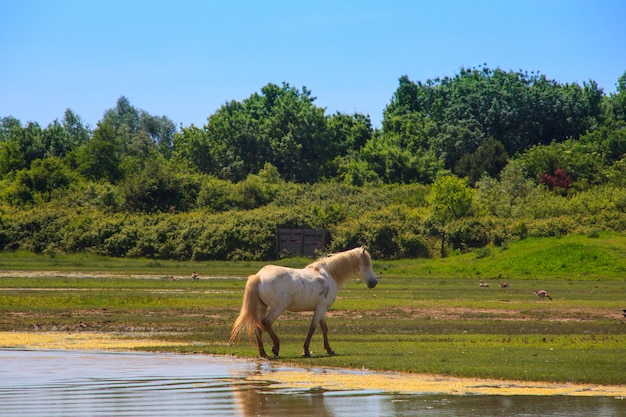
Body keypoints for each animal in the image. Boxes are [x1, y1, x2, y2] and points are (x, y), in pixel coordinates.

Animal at [228, 247, 376, 358]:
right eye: (367, 264)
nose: (374, 282)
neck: (328, 274)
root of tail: (258, 276)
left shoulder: (321, 309)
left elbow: (324, 328)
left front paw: (329, 349)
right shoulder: (321, 309)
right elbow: (312, 328)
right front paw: (306, 351)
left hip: (262, 307)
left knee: (258, 327)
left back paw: (263, 353)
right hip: (277, 308)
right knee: (266, 323)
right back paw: (275, 347)